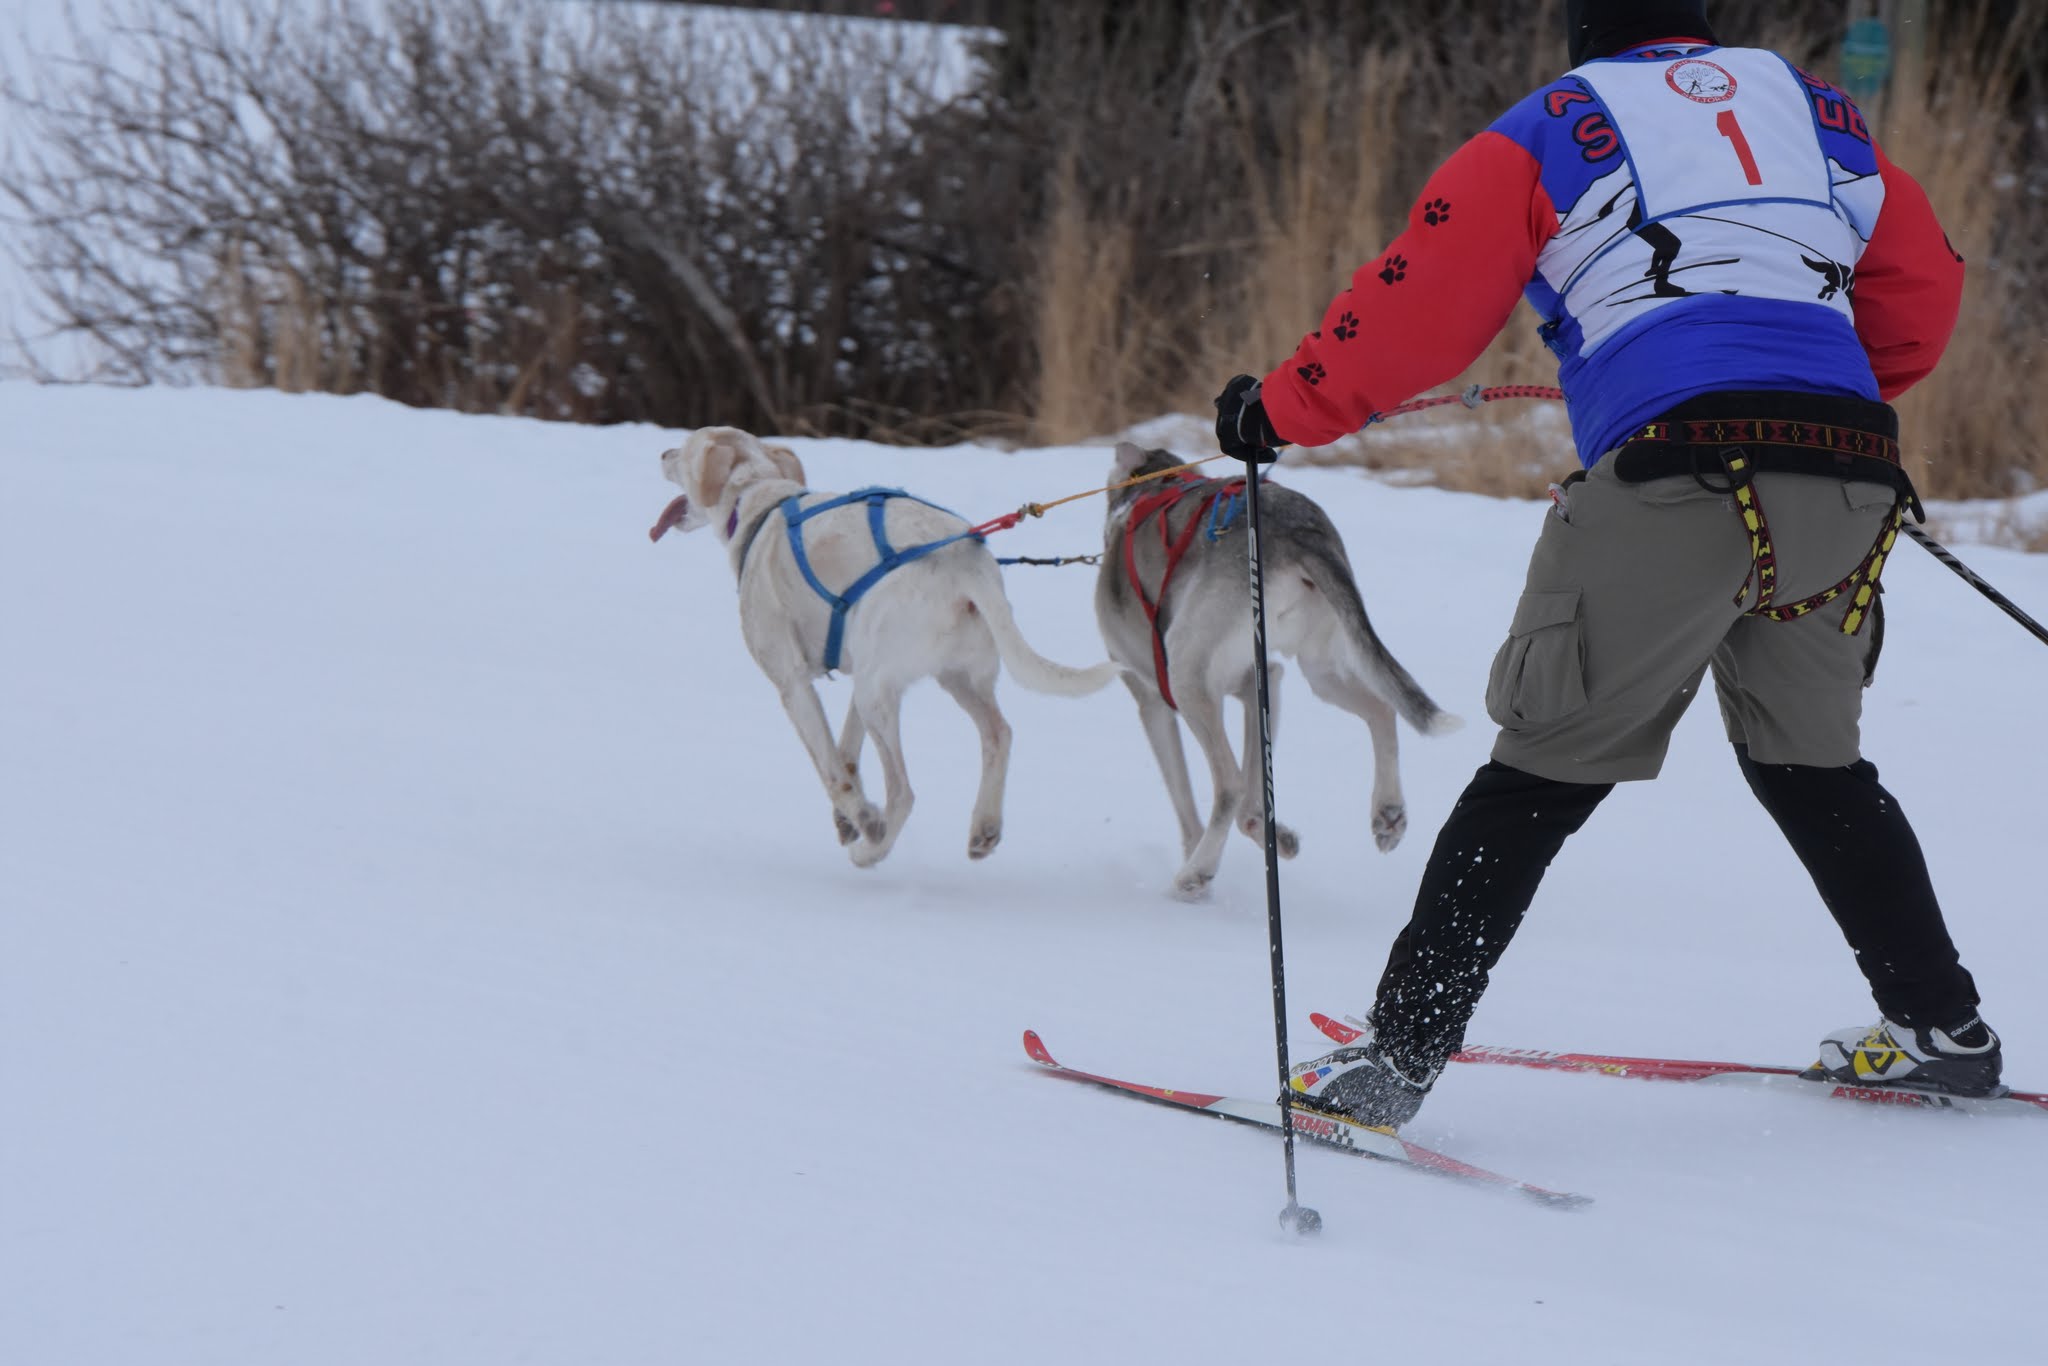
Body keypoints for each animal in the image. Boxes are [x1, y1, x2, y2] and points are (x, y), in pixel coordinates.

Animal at [655, 430, 1122, 864]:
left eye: (686, 445)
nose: (662, 452)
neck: (758, 502)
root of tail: (965, 565)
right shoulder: (858, 668)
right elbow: (846, 754)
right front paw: (847, 818)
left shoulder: (793, 684)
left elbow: (833, 772)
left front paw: (862, 818)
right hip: (949, 678)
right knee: (999, 733)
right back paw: (984, 827)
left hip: (878, 692)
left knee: (904, 791)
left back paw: (873, 849)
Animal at [1097, 444, 1466, 901]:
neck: (1153, 488)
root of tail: (1298, 531)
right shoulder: (1262, 680)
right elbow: (1255, 803)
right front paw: (1277, 836)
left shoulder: (1154, 700)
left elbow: (1190, 798)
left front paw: (1201, 866)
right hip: (1320, 668)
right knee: (1381, 709)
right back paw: (1388, 812)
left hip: (1187, 675)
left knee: (1230, 786)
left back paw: (1195, 872)